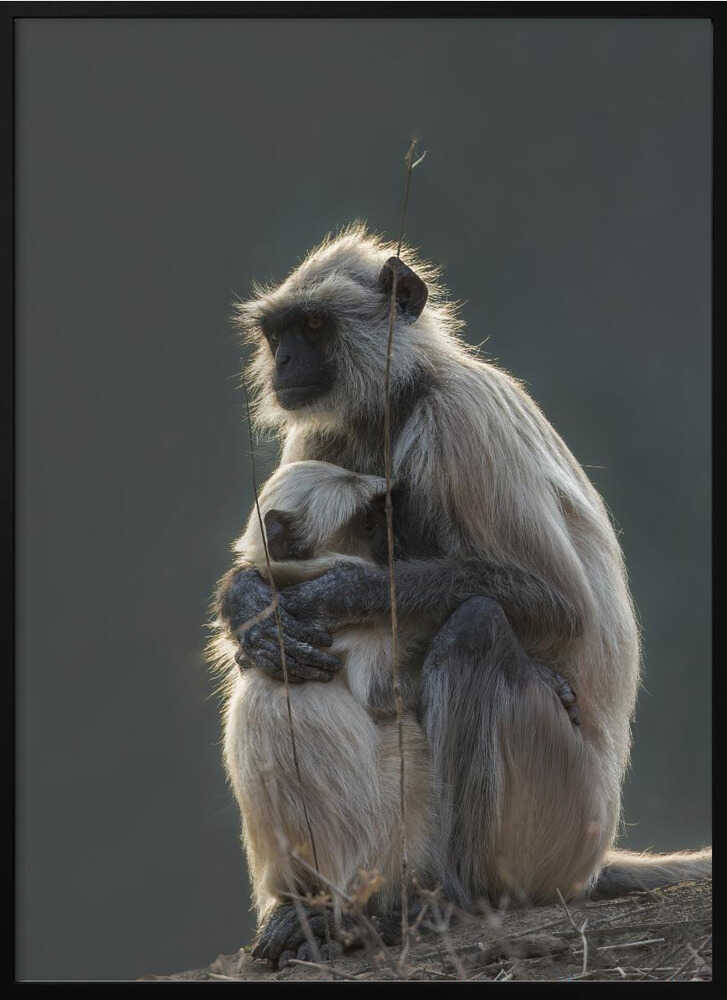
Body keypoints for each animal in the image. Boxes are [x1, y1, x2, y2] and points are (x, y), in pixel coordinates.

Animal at [214, 224, 711, 966]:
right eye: (279, 334)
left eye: (313, 327)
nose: (286, 361)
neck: (401, 395)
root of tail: (594, 855)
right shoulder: (322, 430)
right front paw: (250, 608)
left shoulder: (458, 418)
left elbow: (559, 604)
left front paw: (335, 594)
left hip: (559, 818)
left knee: (477, 623)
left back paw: (450, 900)